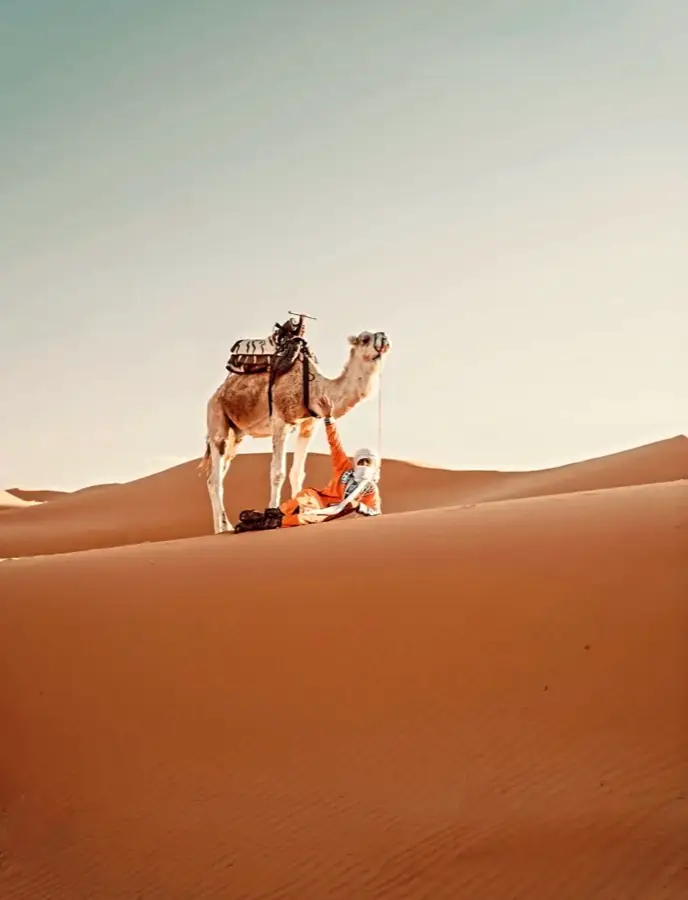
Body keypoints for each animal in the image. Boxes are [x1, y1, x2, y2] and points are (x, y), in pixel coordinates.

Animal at [201, 325, 391, 533]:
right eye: (365, 339)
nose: (384, 337)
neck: (315, 388)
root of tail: (215, 395)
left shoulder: (308, 425)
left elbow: (297, 473)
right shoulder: (280, 422)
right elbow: (277, 473)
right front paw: (271, 514)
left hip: (236, 434)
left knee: (215, 475)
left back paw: (223, 527)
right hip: (217, 420)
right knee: (216, 477)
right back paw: (222, 528)